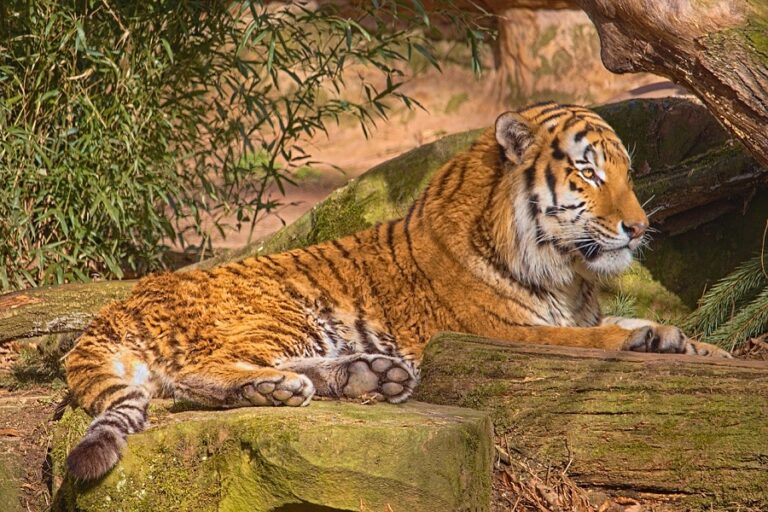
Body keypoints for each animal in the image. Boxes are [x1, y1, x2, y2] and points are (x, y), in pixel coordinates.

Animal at [63, 101, 731, 480]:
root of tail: (114, 307)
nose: (640, 227)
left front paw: (701, 348)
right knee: (191, 377)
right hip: (279, 312)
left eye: (627, 173)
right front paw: (646, 338)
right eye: (588, 173)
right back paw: (278, 388)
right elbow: (589, 340)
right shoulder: (497, 331)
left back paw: (369, 377)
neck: (566, 274)